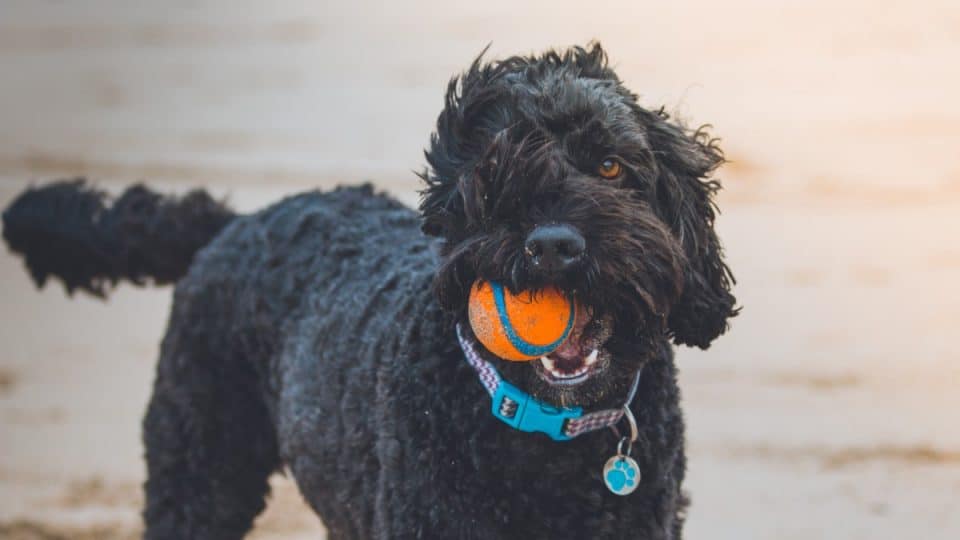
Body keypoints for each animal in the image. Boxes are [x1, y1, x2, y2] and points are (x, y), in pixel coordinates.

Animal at [1, 44, 736, 536]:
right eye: (494, 170)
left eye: (611, 165)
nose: (553, 244)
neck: (545, 431)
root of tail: (236, 220)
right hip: (199, 466)